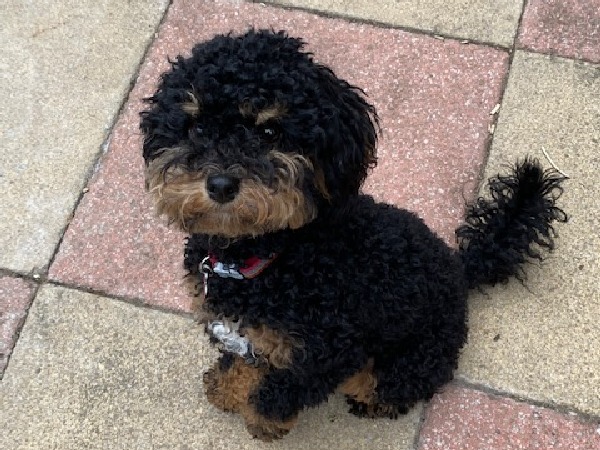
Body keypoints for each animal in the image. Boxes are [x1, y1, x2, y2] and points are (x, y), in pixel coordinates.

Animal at [139, 28, 568, 440]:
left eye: (270, 131)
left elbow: (273, 396)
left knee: (387, 385)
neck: (272, 259)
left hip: (411, 357)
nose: (221, 184)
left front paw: (262, 424)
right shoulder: (239, 331)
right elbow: (238, 364)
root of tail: (459, 267)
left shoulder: (325, 355)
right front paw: (225, 390)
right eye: (195, 125)